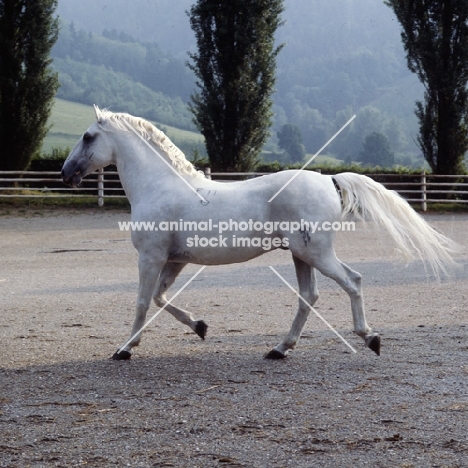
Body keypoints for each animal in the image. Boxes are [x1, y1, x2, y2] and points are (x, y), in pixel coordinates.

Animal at [61, 107, 458, 362]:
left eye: (87, 136)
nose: (66, 173)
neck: (159, 187)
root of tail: (329, 180)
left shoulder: (151, 257)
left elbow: (144, 301)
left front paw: (124, 349)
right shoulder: (173, 261)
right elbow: (160, 299)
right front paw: (200, 327)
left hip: (315, 253)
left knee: (352, 281)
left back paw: (370, 337)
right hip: (301, 255)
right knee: (310, 296)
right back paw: (280, 349)